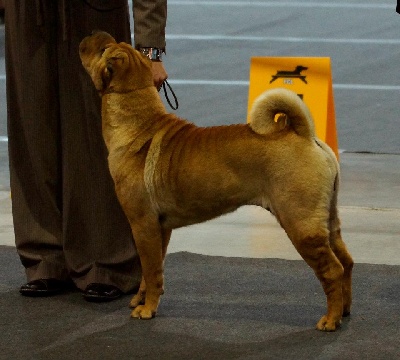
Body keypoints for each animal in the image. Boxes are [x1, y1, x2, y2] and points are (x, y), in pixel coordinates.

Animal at [79, 31, 354, 332]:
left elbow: (150, 270)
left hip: (301, 222)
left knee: (332, 270)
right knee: (346, 262)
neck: (138, 123)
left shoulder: (143, 224)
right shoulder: (160, 228)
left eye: (103, 49)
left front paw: (146, 310)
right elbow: (154, 270)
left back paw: (330, 320)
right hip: (327, 220)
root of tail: (303, 134)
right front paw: (141, 300)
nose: (93, 33)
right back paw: (345, 310)